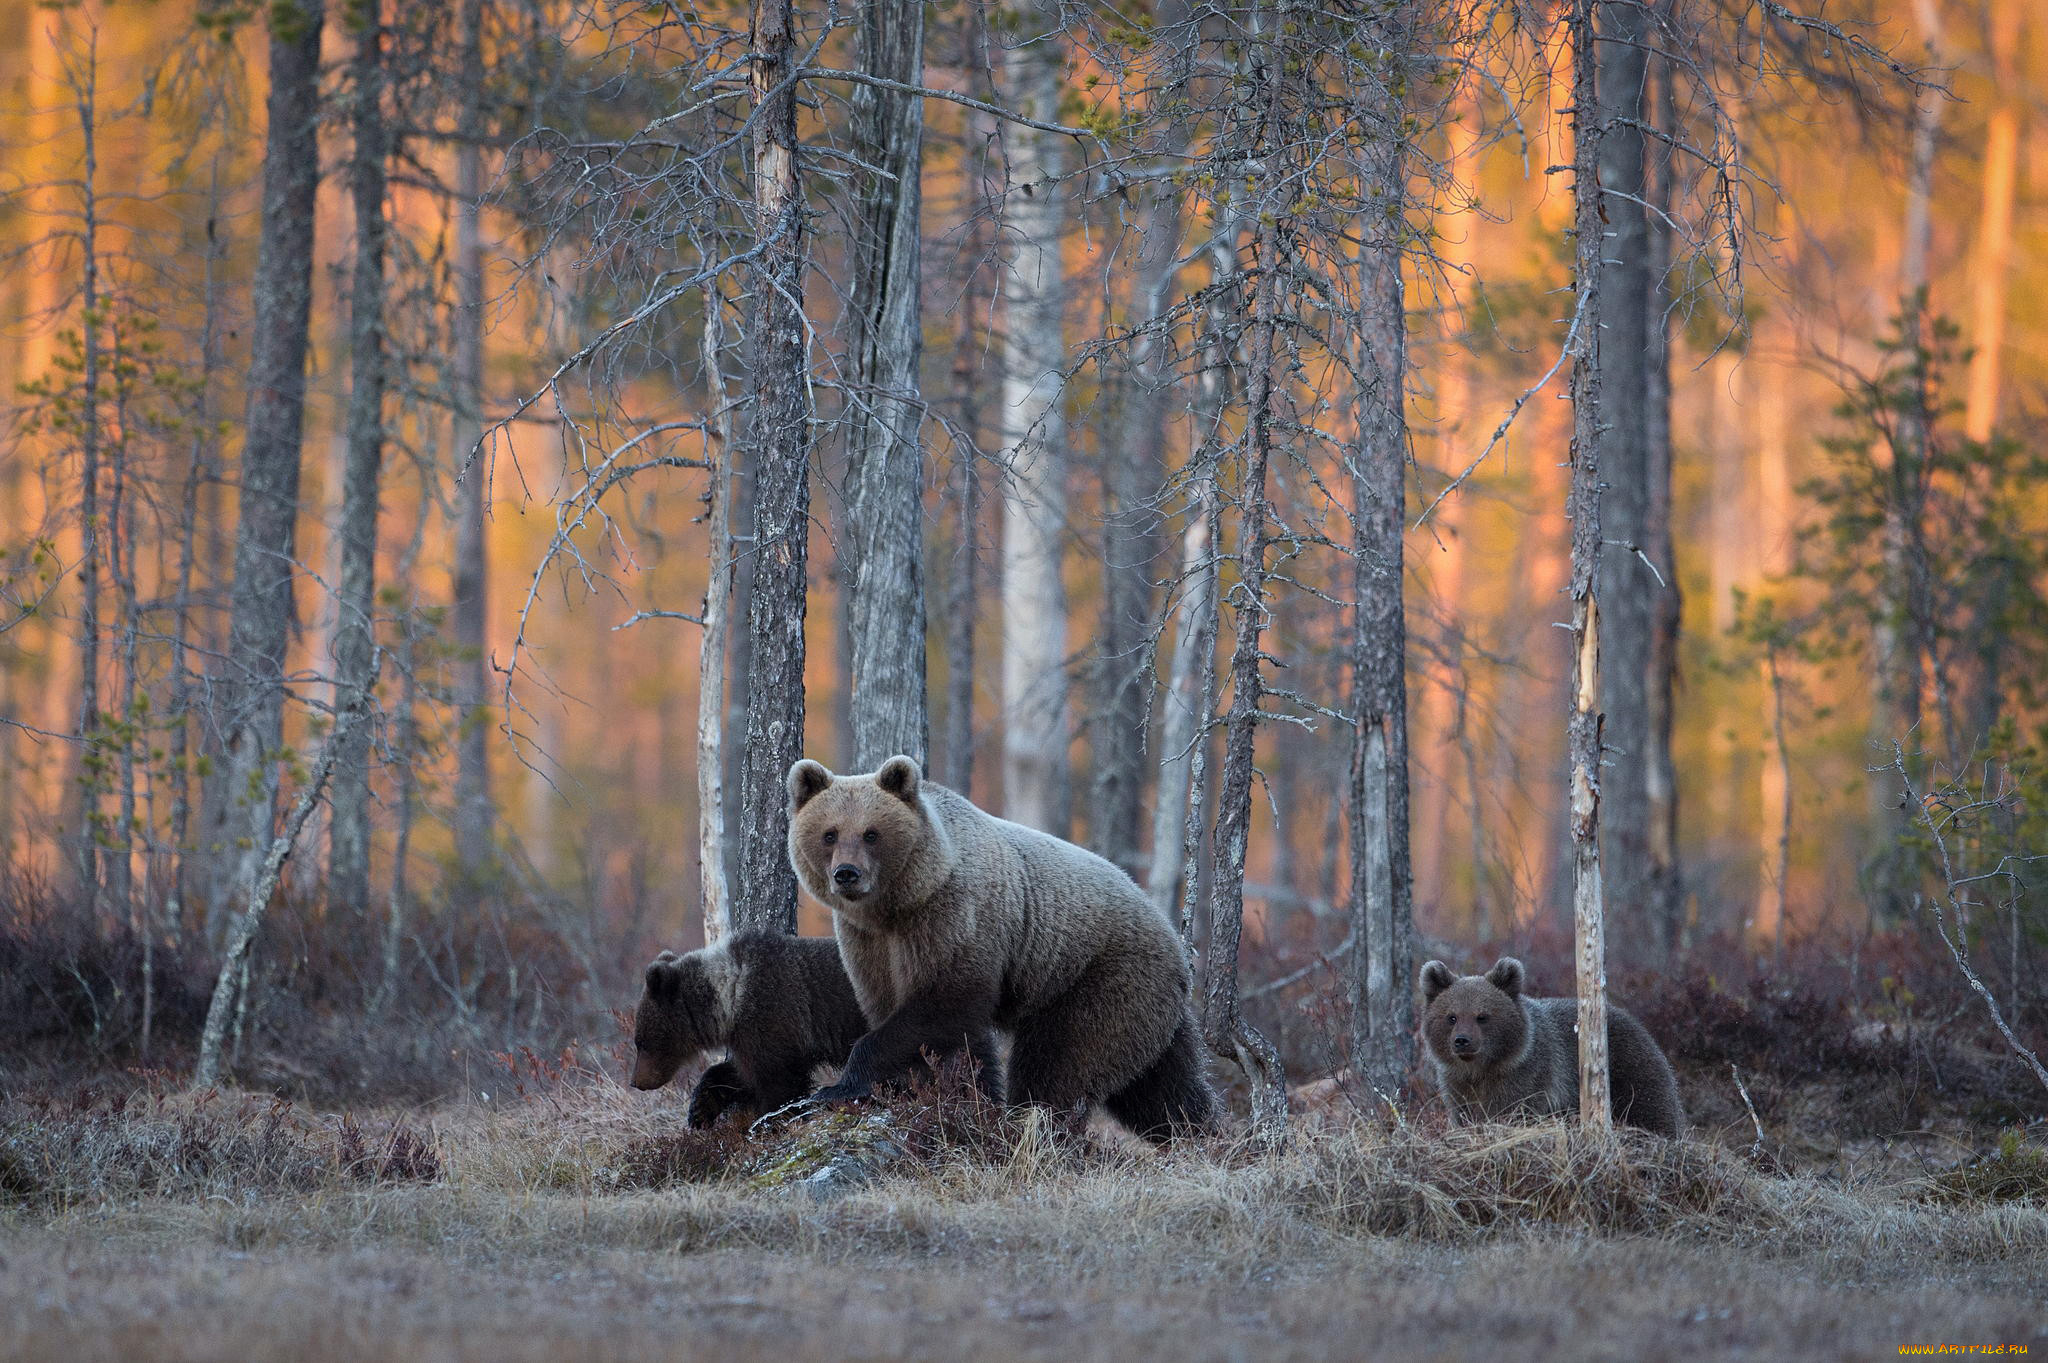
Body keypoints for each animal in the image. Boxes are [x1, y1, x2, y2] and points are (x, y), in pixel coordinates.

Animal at [786, 753, 1212, 1137]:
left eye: (871, 833)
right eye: (829, 834)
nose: (847, 874)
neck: (897, 906)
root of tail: (1173, 936)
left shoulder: (953, 919)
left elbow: (942, 1006)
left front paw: (839, 1086)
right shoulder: (868, 943)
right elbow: (919, 1023)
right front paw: (944, 1093)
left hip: (1100, 977)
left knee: (1062, 1063)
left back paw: (1036, 1124)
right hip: (1148, 1008)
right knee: (1161, 1085)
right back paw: (1198, 1134)